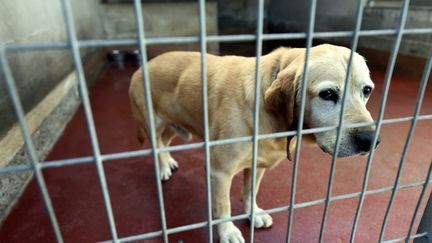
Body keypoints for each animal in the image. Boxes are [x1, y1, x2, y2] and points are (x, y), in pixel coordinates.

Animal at [129, 44, 382, 243]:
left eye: (367, 90)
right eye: (327, 94)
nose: (371, 140)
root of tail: (142, 67)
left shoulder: (258, 166)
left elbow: (251, 192)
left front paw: (253, 213)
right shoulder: (220, 172)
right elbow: (223, 207)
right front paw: (227, 232)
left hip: (176, 126)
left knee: (164, 141)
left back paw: (168, 161)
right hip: (153, 123)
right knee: (156, 145)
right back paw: (162, 167)